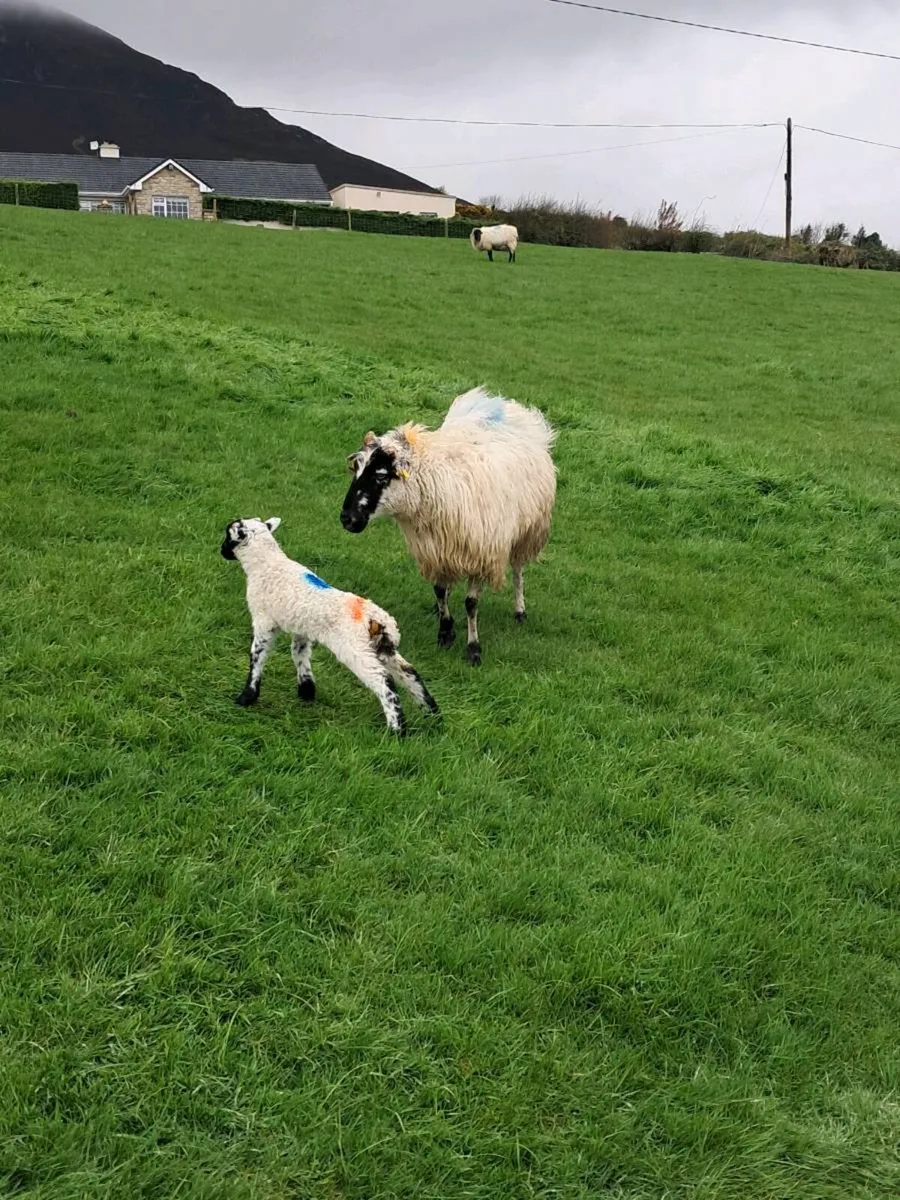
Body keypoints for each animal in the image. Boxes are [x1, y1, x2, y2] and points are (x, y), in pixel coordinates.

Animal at [220, 516, 439, 735]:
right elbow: (299, 654)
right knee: (409, 673)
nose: (221, 551)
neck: (266, 562)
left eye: (228, 536)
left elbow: (257, 658)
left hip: (355, 648)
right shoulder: (302, 628)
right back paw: (433, 714)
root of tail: (376, 617)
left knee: (383, 681)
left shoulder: (263, 621)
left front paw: (247, 697)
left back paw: (397, 730)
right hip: (382, 647)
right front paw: (307, 692)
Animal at [340, 386, 556, 666]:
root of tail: (509, 407)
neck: (436, 481)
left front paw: (473, 648)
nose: (346, 519)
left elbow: (471, 603)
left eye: (380, 476)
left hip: (527, 531)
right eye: (355, 470)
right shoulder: (435, 549)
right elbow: (440, 590)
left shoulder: (482, 553)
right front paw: (445, 631)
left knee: (519, 569)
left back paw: (520, 610)